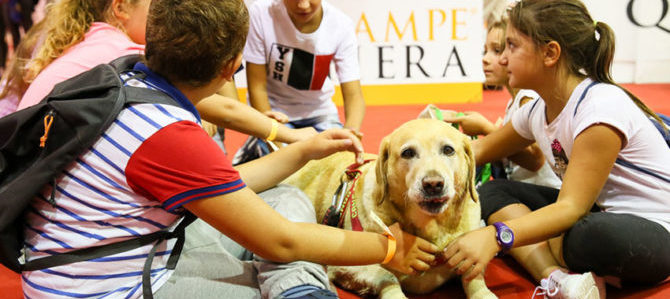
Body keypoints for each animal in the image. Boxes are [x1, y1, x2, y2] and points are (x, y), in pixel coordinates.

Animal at [284, 119, 498, 299]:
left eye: (448, 150)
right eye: (408, 153)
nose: (433, 184)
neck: (431, 229)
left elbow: (473, 274)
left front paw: (483, 293)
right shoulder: (343, 266)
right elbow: (385, 274)